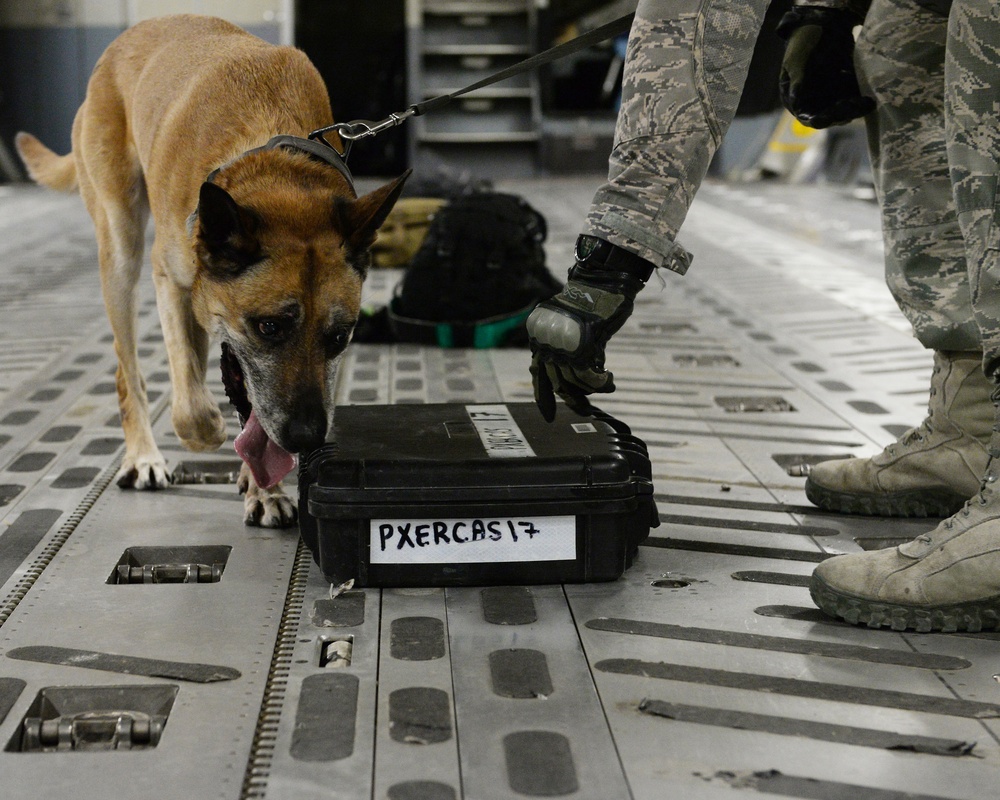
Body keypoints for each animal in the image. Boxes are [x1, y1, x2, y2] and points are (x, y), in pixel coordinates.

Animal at [15, 15, 406, 528]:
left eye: (340, 337)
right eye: (268, 327)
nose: (305, 437)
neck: (273, 165)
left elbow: (247, 415)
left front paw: (262, 488)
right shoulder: (172, 281)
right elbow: (191, 410)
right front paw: (215, 439)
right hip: (120, 248)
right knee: (130, 370)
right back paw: (143, 456)